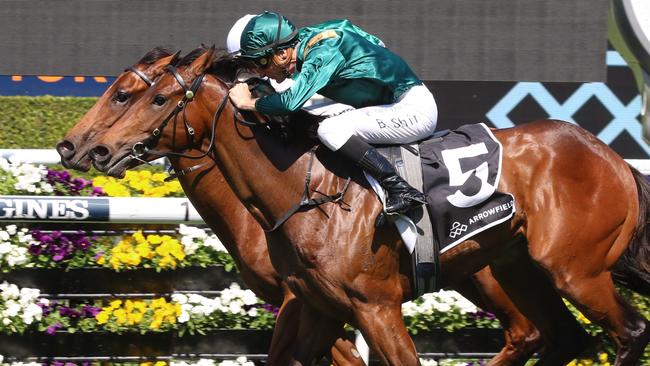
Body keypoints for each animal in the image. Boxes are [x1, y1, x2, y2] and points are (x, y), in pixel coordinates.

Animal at [87, 47, 648, 364]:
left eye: (153, 99)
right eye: (122, 91)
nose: (88, 148)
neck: (305, 195)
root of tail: (613, 158)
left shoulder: (374, 307)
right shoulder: (315, 305)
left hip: (574, 271)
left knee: (627, 331)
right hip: (520, 268)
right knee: (563, 338)